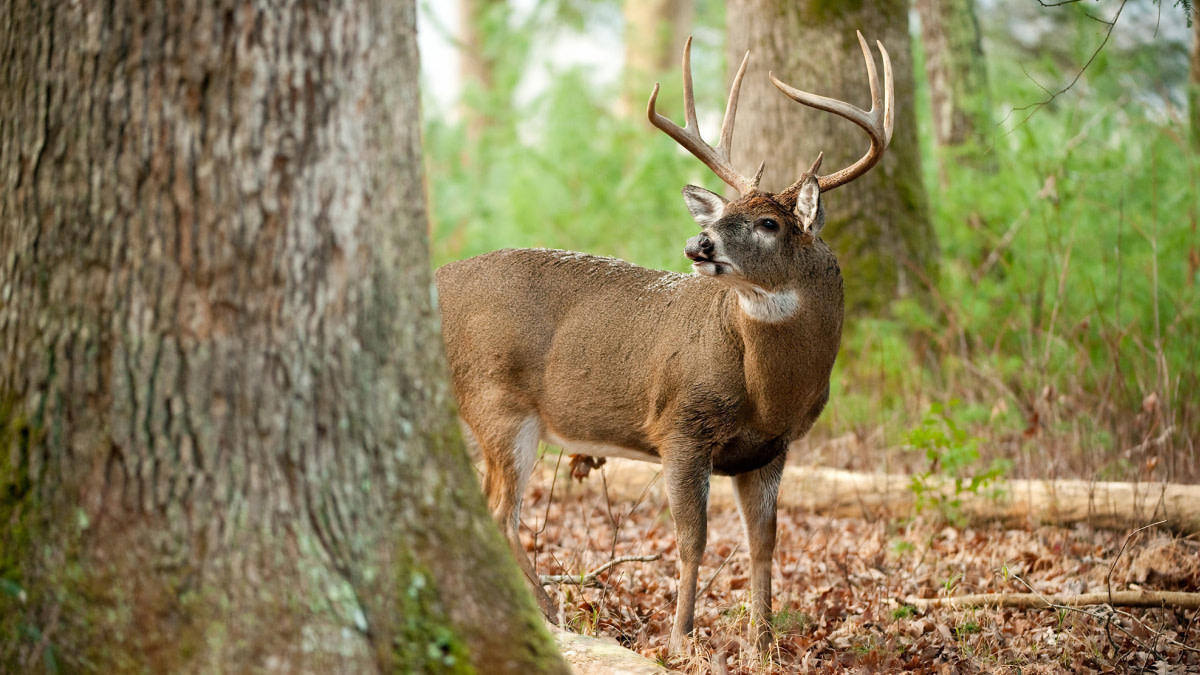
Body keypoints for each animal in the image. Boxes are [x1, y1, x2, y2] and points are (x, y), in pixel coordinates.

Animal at [434, 32, 892, 653]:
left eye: (769, 223)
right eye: (723, 213)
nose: (698, 244)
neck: (768, 393)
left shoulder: (772, 450)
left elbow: (764, 544)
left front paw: (763, 642)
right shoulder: (680, 425)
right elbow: (692, 541)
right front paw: (681, 639)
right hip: (498, 405)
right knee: (500, 512)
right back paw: (552, 616)